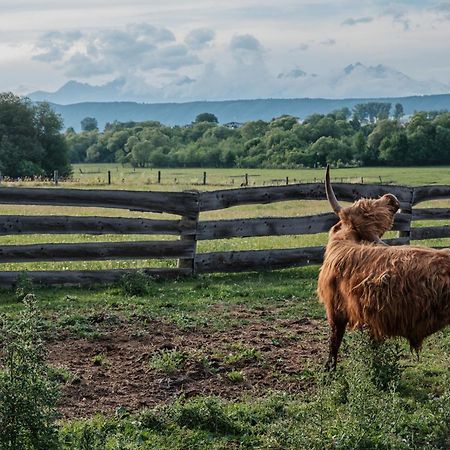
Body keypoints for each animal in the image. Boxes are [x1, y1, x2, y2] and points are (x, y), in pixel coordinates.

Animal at [316, 165, 450, 370]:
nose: (391, 198)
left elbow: (334, 343)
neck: (343, 242)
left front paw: (329, 370)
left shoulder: (335, 309)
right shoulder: (371, 317)